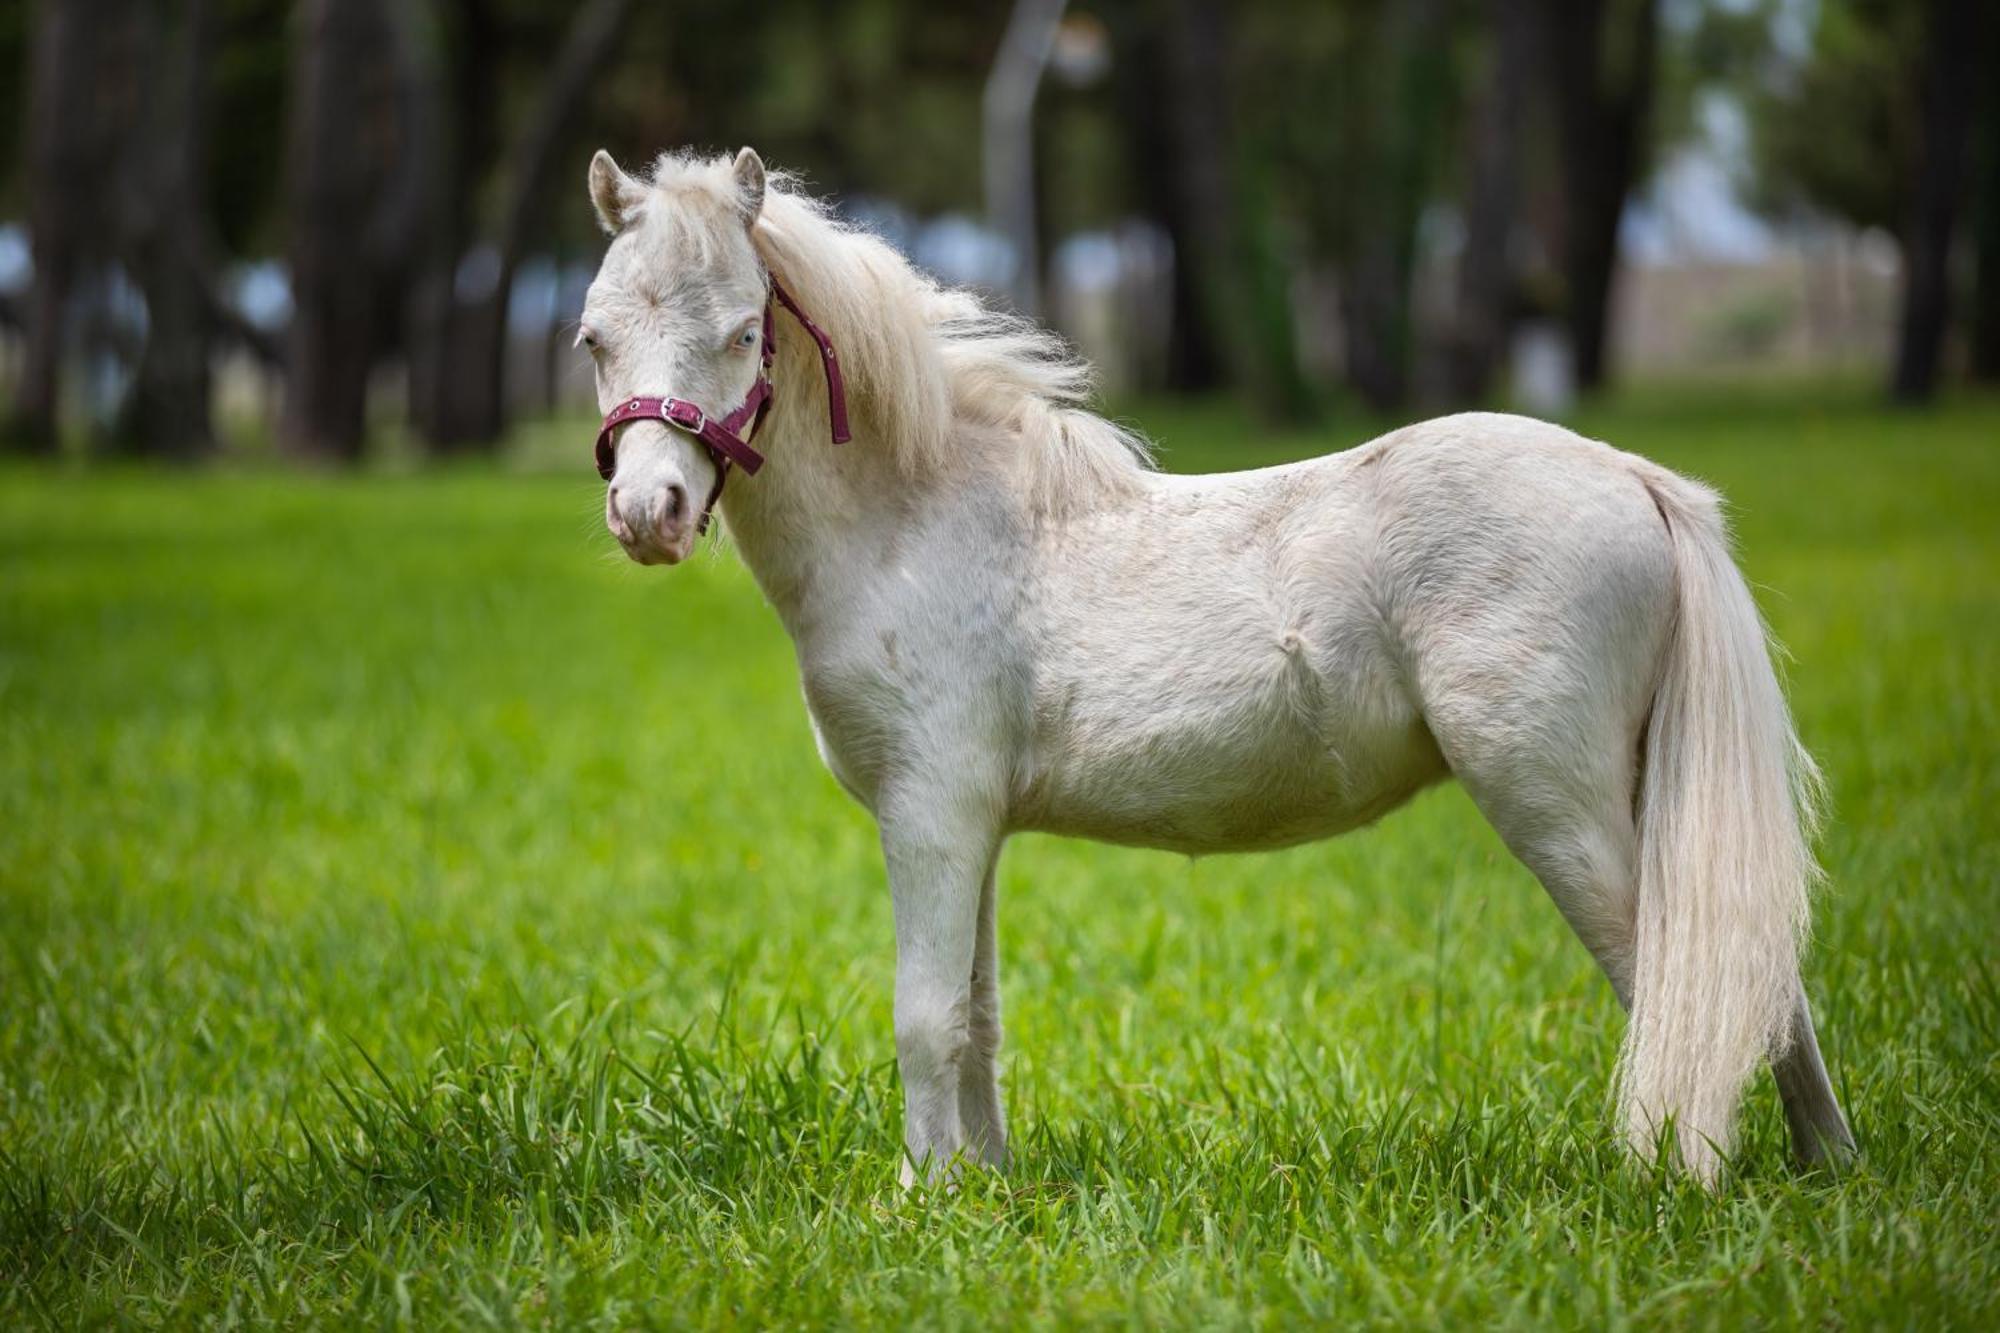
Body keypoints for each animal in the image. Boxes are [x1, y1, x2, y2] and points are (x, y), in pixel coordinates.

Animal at [584, 148, 1856, 1184]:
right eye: (594, 337)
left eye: (742, 330)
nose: (648, 514)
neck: (922, 517)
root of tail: (1636, 479)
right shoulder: (968, 821)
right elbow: (977, 1013)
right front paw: (984, 1187)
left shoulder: (929, 813)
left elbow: (923, 1014)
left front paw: (921, 1195)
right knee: (1759, 976)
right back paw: (1823, 1167)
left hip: (1556, 801)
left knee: (1681, 978)